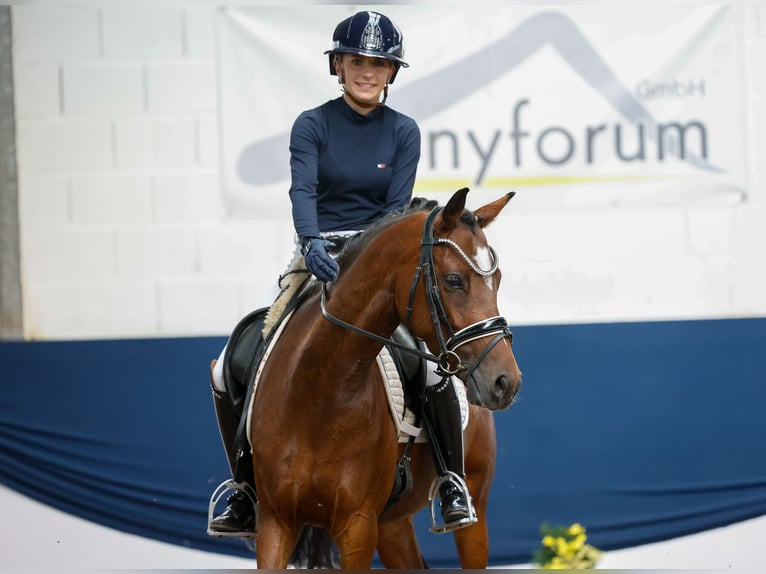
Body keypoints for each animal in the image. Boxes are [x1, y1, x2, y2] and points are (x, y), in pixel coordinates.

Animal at [250, 190, 520, 572]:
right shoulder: (276, 522)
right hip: (391, 523)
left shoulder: (357, 526)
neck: (319, 389)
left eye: (496, 282)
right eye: (454, 280)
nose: (506, 382)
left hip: (473, 508)